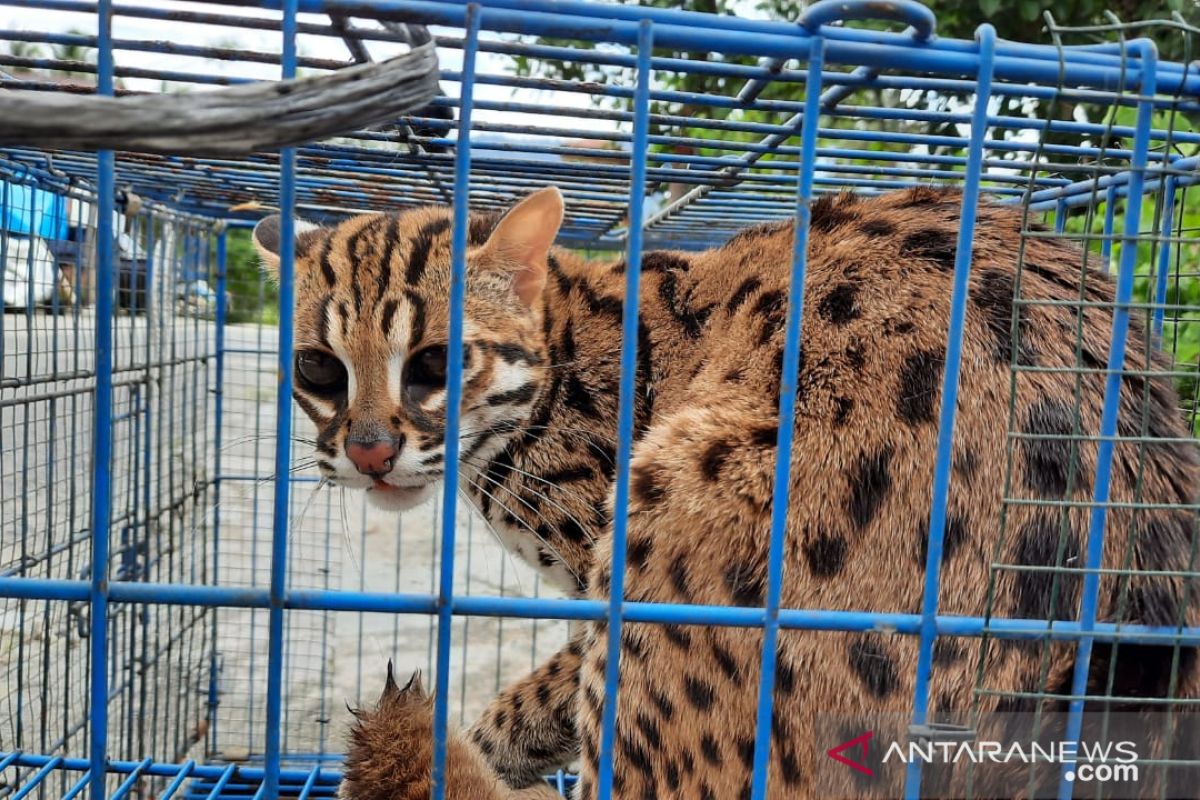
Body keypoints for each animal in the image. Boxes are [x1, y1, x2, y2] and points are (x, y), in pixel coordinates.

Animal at [255, 184, 1200, 796]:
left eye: (435, 364)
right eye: (316, 370)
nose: (369, 454)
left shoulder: (601, 565)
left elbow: (553, 679)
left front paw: (490, 738)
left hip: (678, 510)